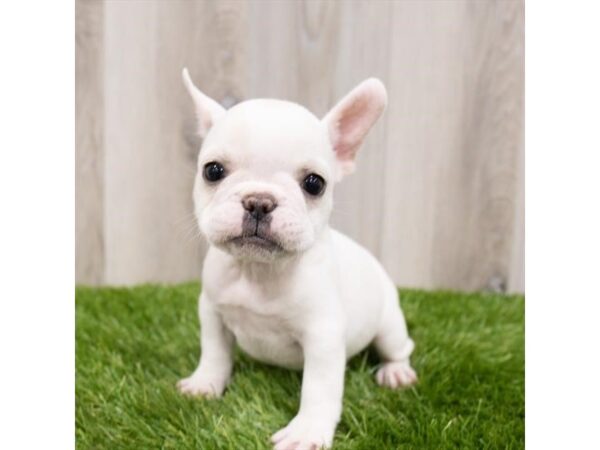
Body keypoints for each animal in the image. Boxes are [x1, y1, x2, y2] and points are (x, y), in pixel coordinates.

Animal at [178, 67, 418, 450]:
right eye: (212, 171)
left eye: (314, 183)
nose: (259, 201)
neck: (258, 272)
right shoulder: (212, 312)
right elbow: (214, 352)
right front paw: (206, 383)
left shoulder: (323, 338)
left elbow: (318, 390)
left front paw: (306, 431)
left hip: (389, 325)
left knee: (399, 346)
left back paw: (396, 372)